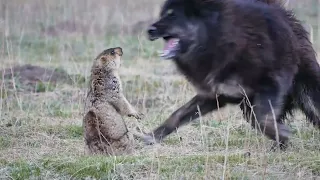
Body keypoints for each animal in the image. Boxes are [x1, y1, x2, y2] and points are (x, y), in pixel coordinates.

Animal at [145, 0, 320, 150]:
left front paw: (282, 134)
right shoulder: (214, 94)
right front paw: (152, 136)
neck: (215, 38)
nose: (149, 31)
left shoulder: (270, 82)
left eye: (172, 15)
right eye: (163, 14)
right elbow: (177, 114)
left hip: (306, 90)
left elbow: (262, 120)